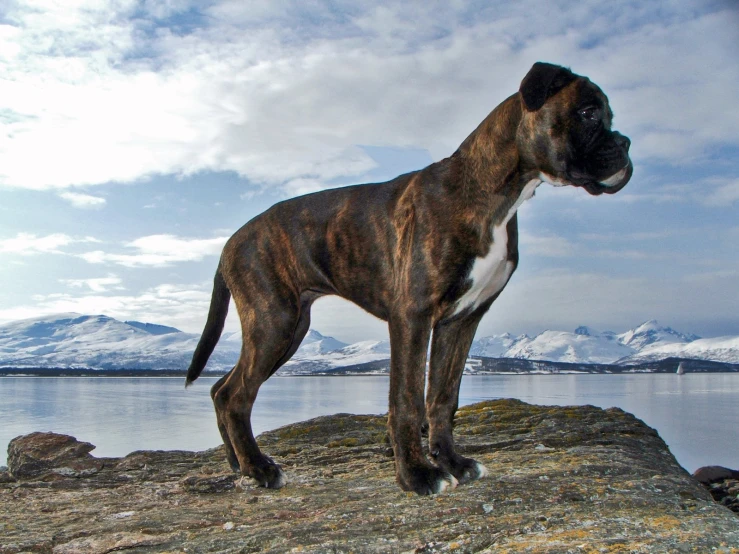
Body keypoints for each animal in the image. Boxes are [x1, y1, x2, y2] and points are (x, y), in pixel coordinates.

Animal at [188, 62, 632, 494]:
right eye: (588, 113)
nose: (626, 144)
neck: (493, 192)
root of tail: (230, 243)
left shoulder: (461, 321)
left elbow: (443, 397)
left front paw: (451, 461)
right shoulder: (413, 316)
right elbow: (407, 400)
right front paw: (416, 475)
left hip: (288, 328)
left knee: (219, 389)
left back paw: (239, 463)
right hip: (274, 323)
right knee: (235, 395)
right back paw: (260, 469)